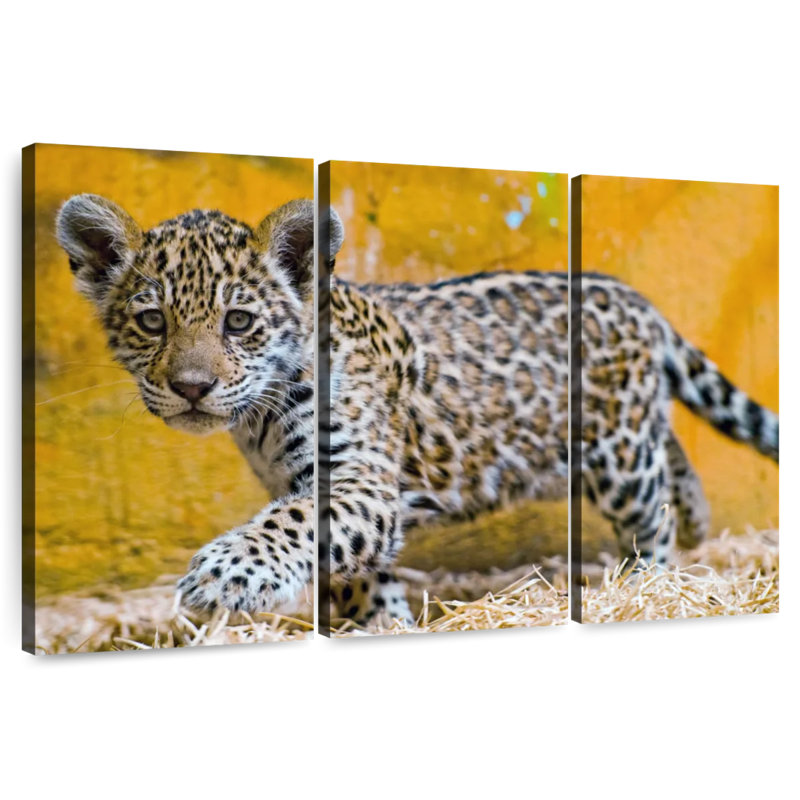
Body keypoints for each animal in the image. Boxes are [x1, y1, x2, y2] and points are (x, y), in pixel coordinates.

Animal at [322, 216, 779, 628]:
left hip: (621, 457)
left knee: (651, 516)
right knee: (670, 451)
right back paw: (695, 525)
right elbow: (364, 573)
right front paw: (385, 621)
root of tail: (639, 304)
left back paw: (646, 584)